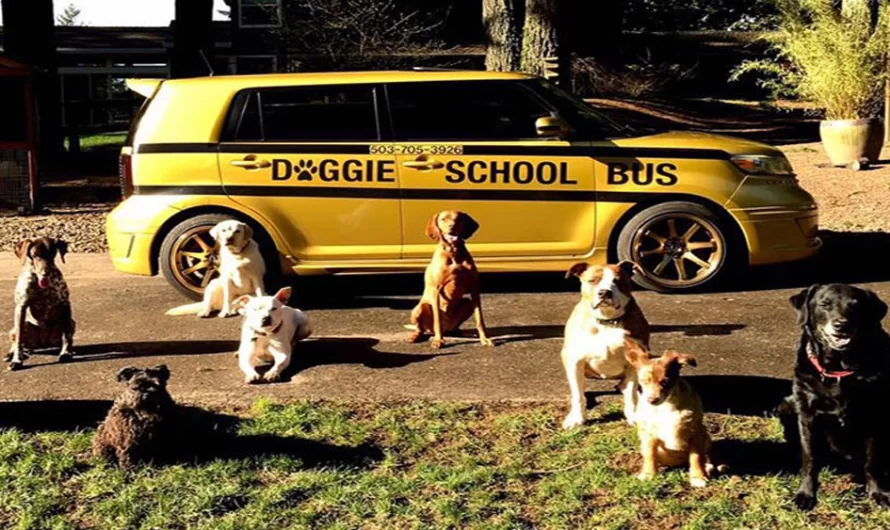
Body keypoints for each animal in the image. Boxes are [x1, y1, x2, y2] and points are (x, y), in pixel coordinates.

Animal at [6, 237, 74, 370]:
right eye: (35, 255)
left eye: (52, 254)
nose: (46, 273)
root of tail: (43, 344)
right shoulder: (21, 307)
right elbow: (19, 339)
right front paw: (17, 360)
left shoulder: (64, 303)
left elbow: (66, 335)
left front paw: (66, 353)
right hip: (15, 329)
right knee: (18, 342)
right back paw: (12, 354)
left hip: (71, 322)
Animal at [560, 260, 648, 428]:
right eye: (592, 280)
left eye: (618, 281)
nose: (604, 292)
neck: (606, 320)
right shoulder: (574, 360)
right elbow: (577, 394)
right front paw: (576, 418)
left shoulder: (635, 359)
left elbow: (631, 392)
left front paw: (633, 415)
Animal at [632, 350, 716, 486]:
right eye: (643, 382)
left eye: (665, 382)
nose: (651, 400)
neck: (667, 405)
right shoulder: (648, 434)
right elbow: (650, 454)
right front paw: (649, 474)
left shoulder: (696, 433)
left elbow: (696, 457)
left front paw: (697, 477)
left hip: (705, 437)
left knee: (704, 457)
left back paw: (707, 467)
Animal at [776, 282, 888, 510]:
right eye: (824, 304)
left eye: (855, 306)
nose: (841, 325)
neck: (839, 369)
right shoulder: (807, 416)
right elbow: (809, 459)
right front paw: (805, 494)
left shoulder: (874, 416)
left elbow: (872, 461)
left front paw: (877, 492)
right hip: (787, 406)